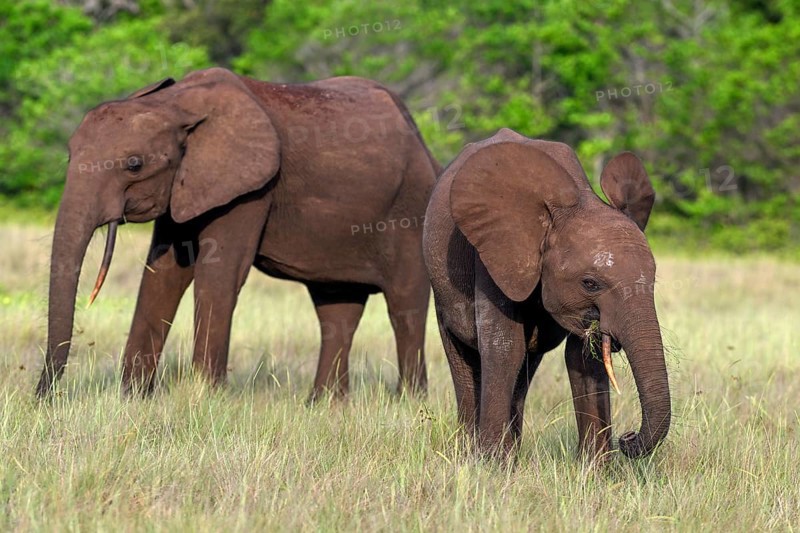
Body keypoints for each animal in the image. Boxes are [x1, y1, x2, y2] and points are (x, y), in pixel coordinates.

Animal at [36, 67, 440, 399]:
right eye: (69, 156)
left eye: (134, 164)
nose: (43, 396)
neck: (178, 104)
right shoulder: (186, 184)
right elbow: (163, 274)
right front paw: (133, 398)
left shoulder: (251, 188)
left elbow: (219, 273)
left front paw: (205, 398)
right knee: (337, 311)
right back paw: (325, 405)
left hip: (411, 211)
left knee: (405, 305)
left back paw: (408, 402)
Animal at [422, 128, 670, 460]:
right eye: (590, 283)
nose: (627, 438)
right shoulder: (497, 253)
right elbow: (504, 348)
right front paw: (491, 464)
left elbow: (583, 358)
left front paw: (595, 468)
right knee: (463, 357)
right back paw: (471, 451)